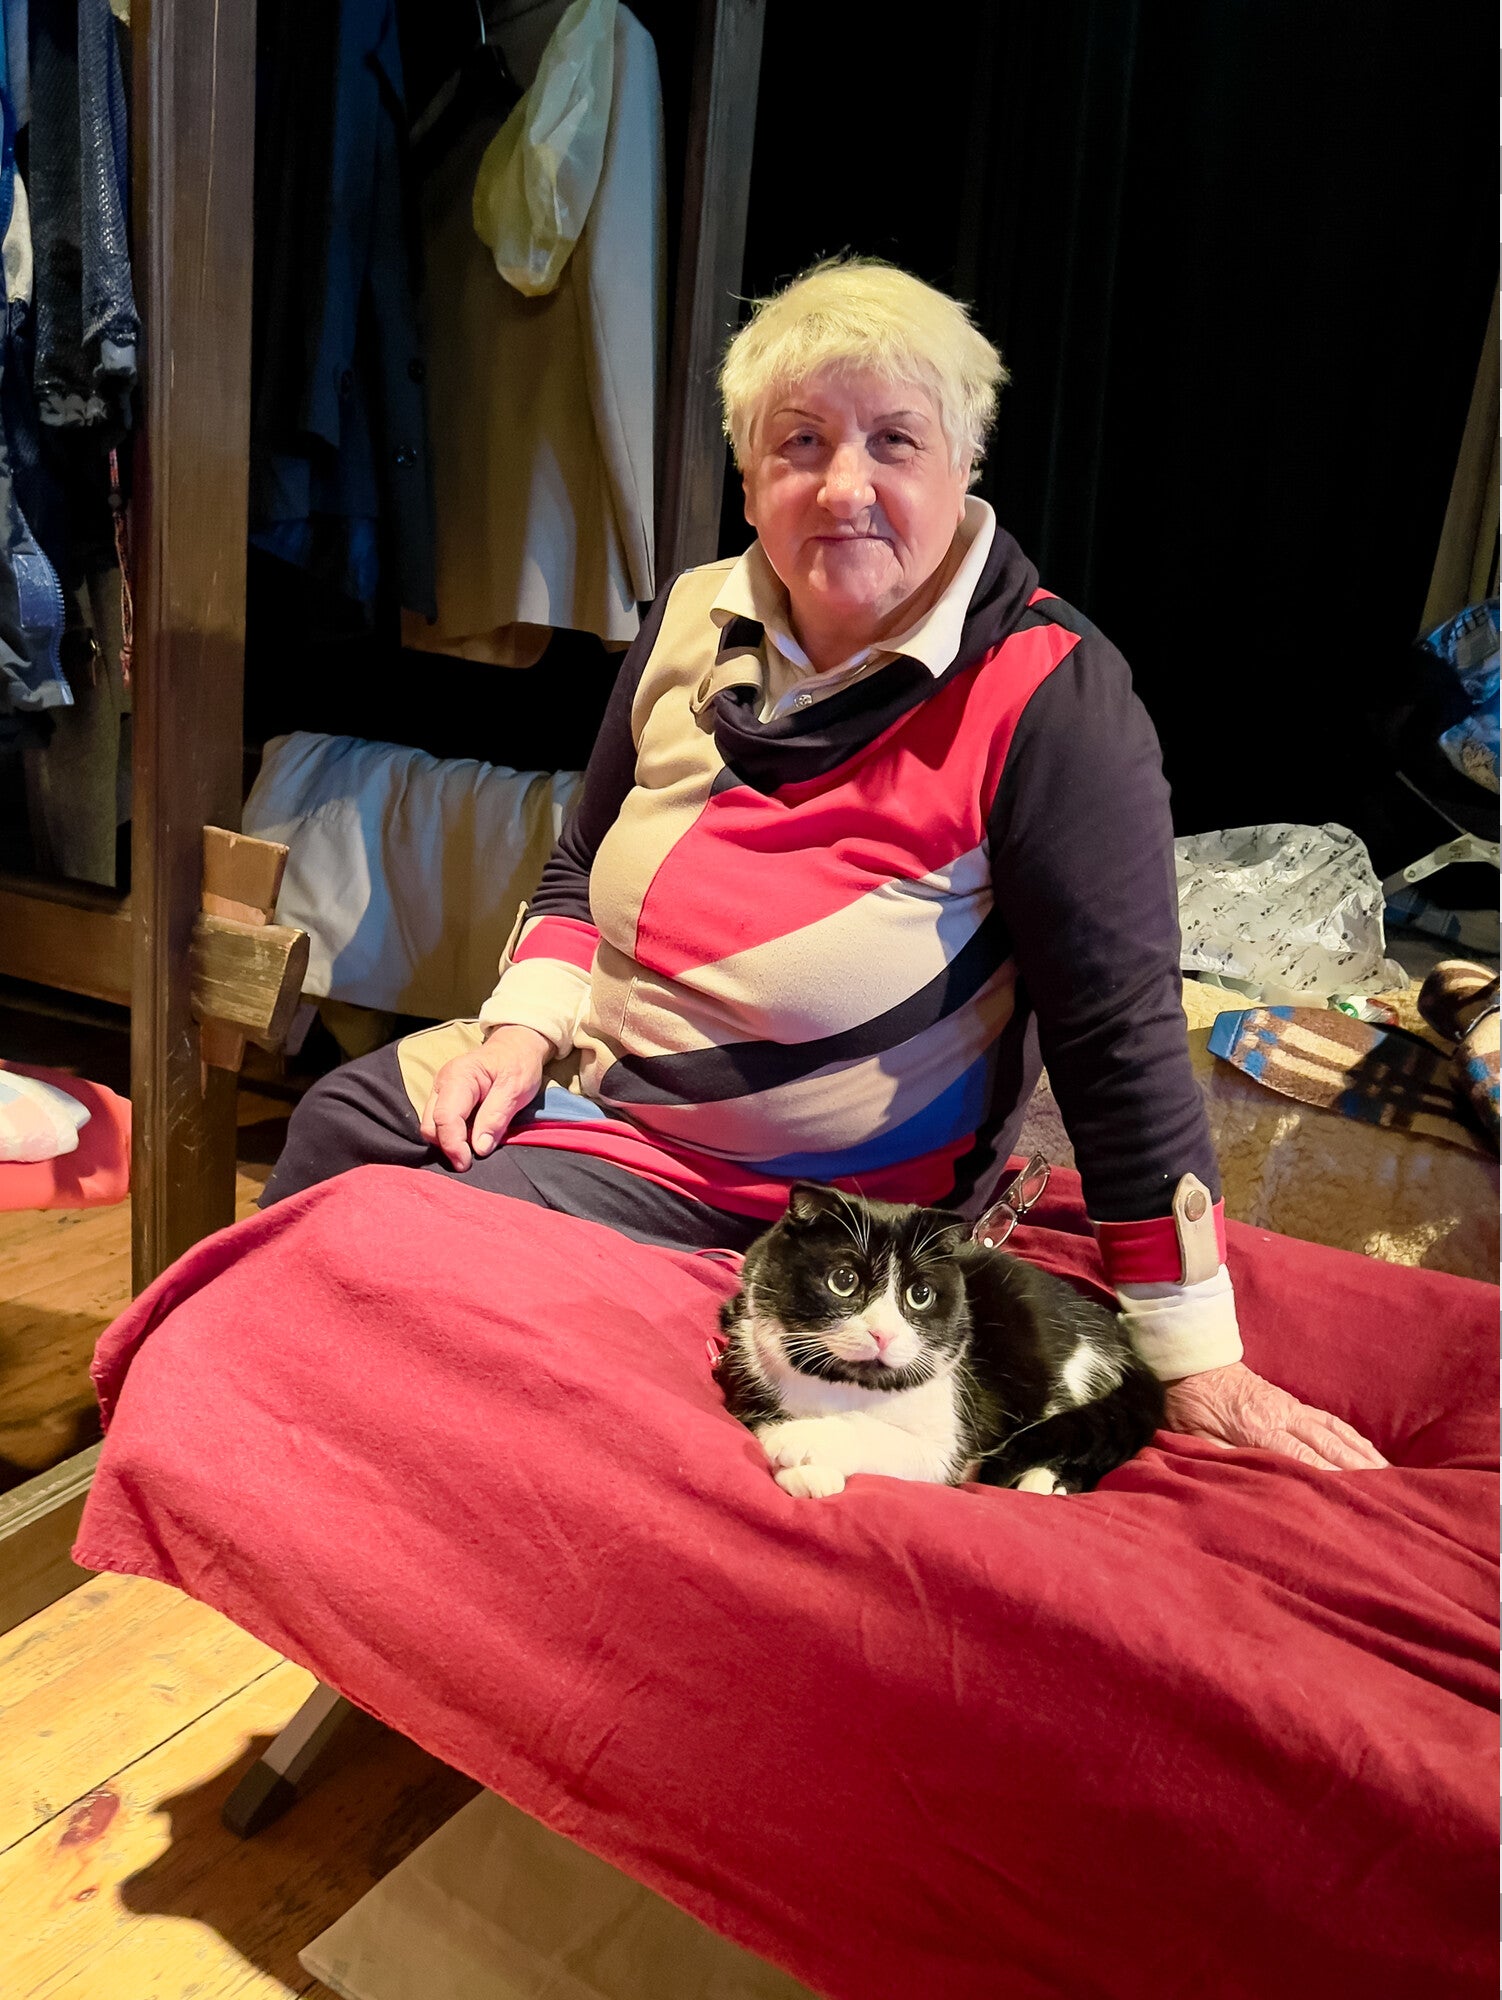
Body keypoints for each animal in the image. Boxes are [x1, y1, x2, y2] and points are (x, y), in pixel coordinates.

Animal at [717, 1182, 1164, 1499]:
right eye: (843, 1281)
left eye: (920, 1294)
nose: (883, 1333)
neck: (850, 1383)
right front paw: (807, 1470)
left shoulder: (946, 1443)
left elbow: (881, 1436)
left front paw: (798, 1439)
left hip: (1074, 1371)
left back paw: (1045, 1480)